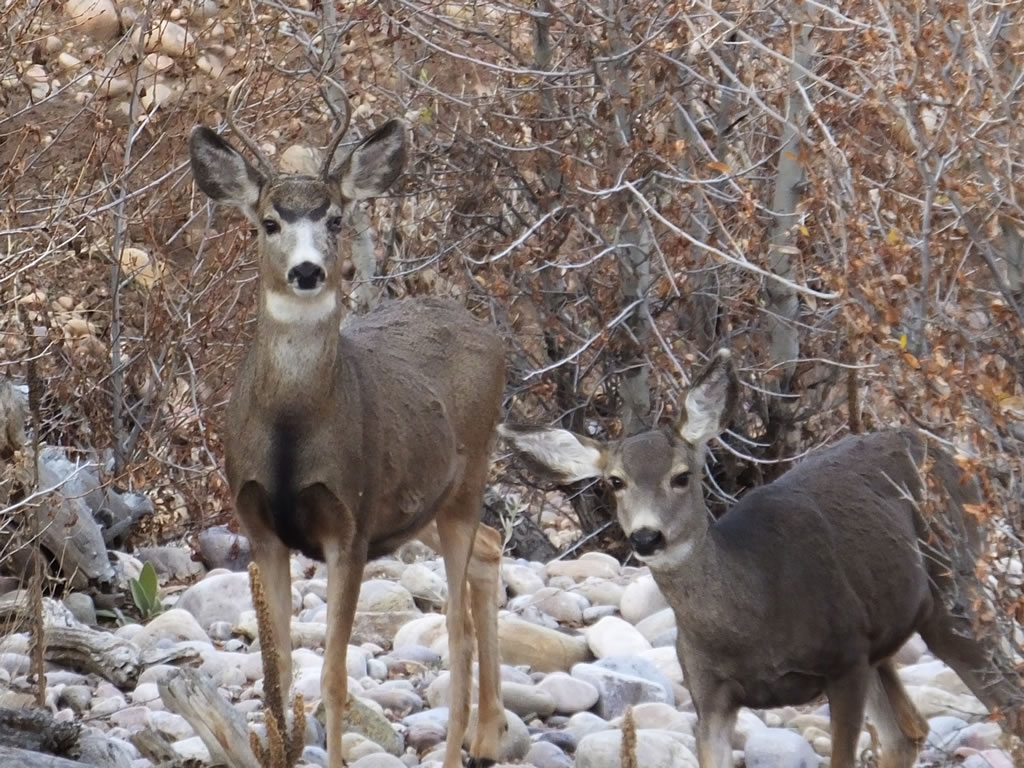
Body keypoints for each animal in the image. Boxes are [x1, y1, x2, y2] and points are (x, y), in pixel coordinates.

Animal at [188, 87, 506, 768]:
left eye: (335, 219)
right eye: (269, 222)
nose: (308, 271)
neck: (292, 430)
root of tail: (489, 332)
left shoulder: (351, 524)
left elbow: (333, 676)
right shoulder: (259, 525)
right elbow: (278, 670)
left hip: (466, 479)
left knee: (458, 628)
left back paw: (465, 744)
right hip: (420, 508)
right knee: (492, 549)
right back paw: (491, 735)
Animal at [500, 349, 1023, 768]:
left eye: (682, 475)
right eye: (615, 481)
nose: (646, 536)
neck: (753, 616)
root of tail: (950, 452)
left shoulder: (844, 658)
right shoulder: (708, 693)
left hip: (951, 596)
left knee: (1003, 703)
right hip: (882, 637)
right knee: (907, 733)